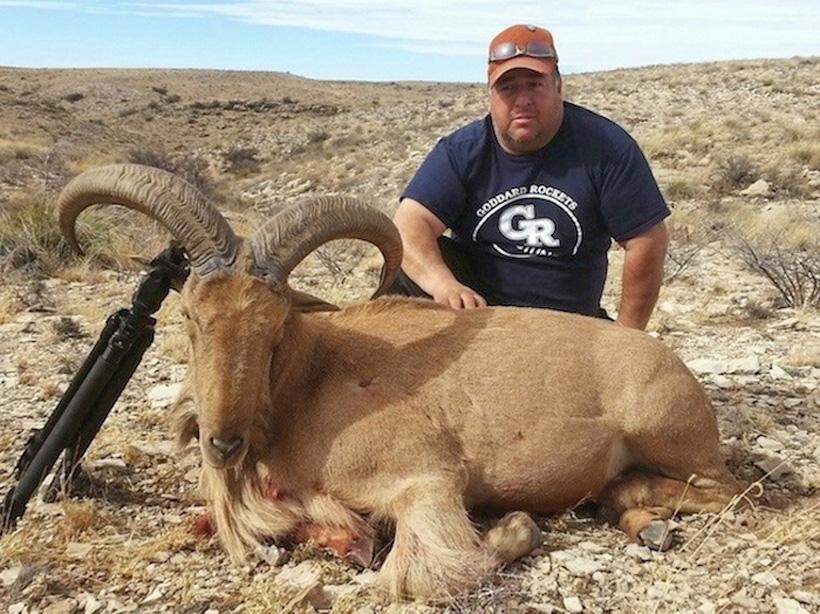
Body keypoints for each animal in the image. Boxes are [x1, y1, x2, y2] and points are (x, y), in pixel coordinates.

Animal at [58, 163, 742, 601]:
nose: (222, 443)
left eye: (275, 328)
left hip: (668, 435)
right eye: (192, 319)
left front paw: (508, 527)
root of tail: (677, 368)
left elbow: (432, 571)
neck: (309, 383)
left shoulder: (425, 479)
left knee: (730, 491)